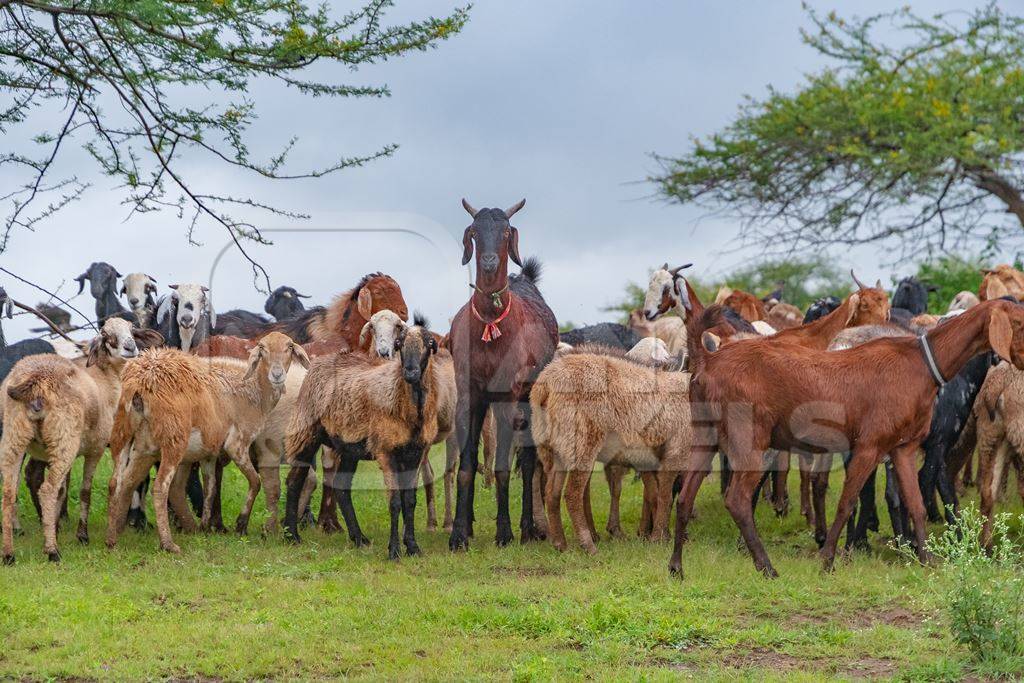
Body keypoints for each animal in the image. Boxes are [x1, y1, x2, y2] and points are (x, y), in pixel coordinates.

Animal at [0, 317, 161, 565]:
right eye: (107, 335)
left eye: (132, 330)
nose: (130, 348)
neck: (106, 376)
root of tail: (36, 380)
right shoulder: (96, 449)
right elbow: (88, 490)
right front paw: (83, 535)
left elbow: (64, 490)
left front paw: (55, 527)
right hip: (63, 439)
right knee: (46, 490)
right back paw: (53, 552)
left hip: (15, 437)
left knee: (9, 492)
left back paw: (9, 553)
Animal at [107, 331, 311, 557]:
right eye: (262, 349)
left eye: (289, 347)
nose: (277, 375)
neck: (254, 389)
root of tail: (141, 382)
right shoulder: (237, 443)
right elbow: (255, 481)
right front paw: (241, 524)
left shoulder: (209, 452)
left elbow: (210, 487)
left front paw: (206, 527)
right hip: (172, 441)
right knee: (160, 488)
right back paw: (168, 544)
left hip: (131, 439)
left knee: (120, 483)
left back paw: (113, 537)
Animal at [450, 198, 561, 548]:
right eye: (474, 232)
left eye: (506, 233)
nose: (488, 262)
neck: (490, 324)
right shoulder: (469, 395)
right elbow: (466, 465)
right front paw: (458, 534)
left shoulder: (507, 398)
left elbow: (502, 466)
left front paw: (504, 532)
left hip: (529, 399)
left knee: (528, 459)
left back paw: (528, 527)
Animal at [667, 296, 1024, 577]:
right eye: (1018, 321)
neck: (924, 362)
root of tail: (707, 360)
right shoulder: (869, 445)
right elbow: (847, 501)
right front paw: (827, 559)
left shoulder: (903, 448)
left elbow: (916, 504)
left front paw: (924, 558)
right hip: (750, 440)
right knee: (737, 500)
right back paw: (766, 567)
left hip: (706, 436)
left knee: (685, 496)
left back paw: (677, 568)